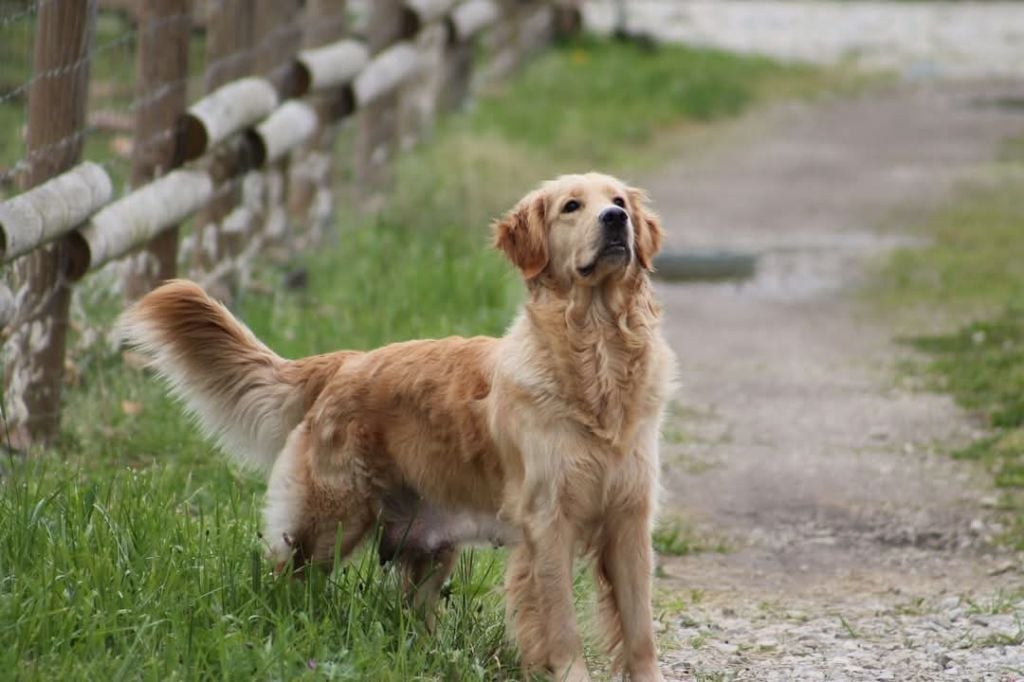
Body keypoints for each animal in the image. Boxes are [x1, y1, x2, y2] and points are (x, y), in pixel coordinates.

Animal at [117, 173, 671, 675]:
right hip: (329, 523)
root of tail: (345, 362)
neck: (597, 356)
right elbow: (561, 629)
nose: (615, 219)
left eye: (619, 200)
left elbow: (639, 630)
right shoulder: (547, 522)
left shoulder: (629, 519)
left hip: (427, 549)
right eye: (572, 206)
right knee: (286, 584)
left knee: (408, 615)